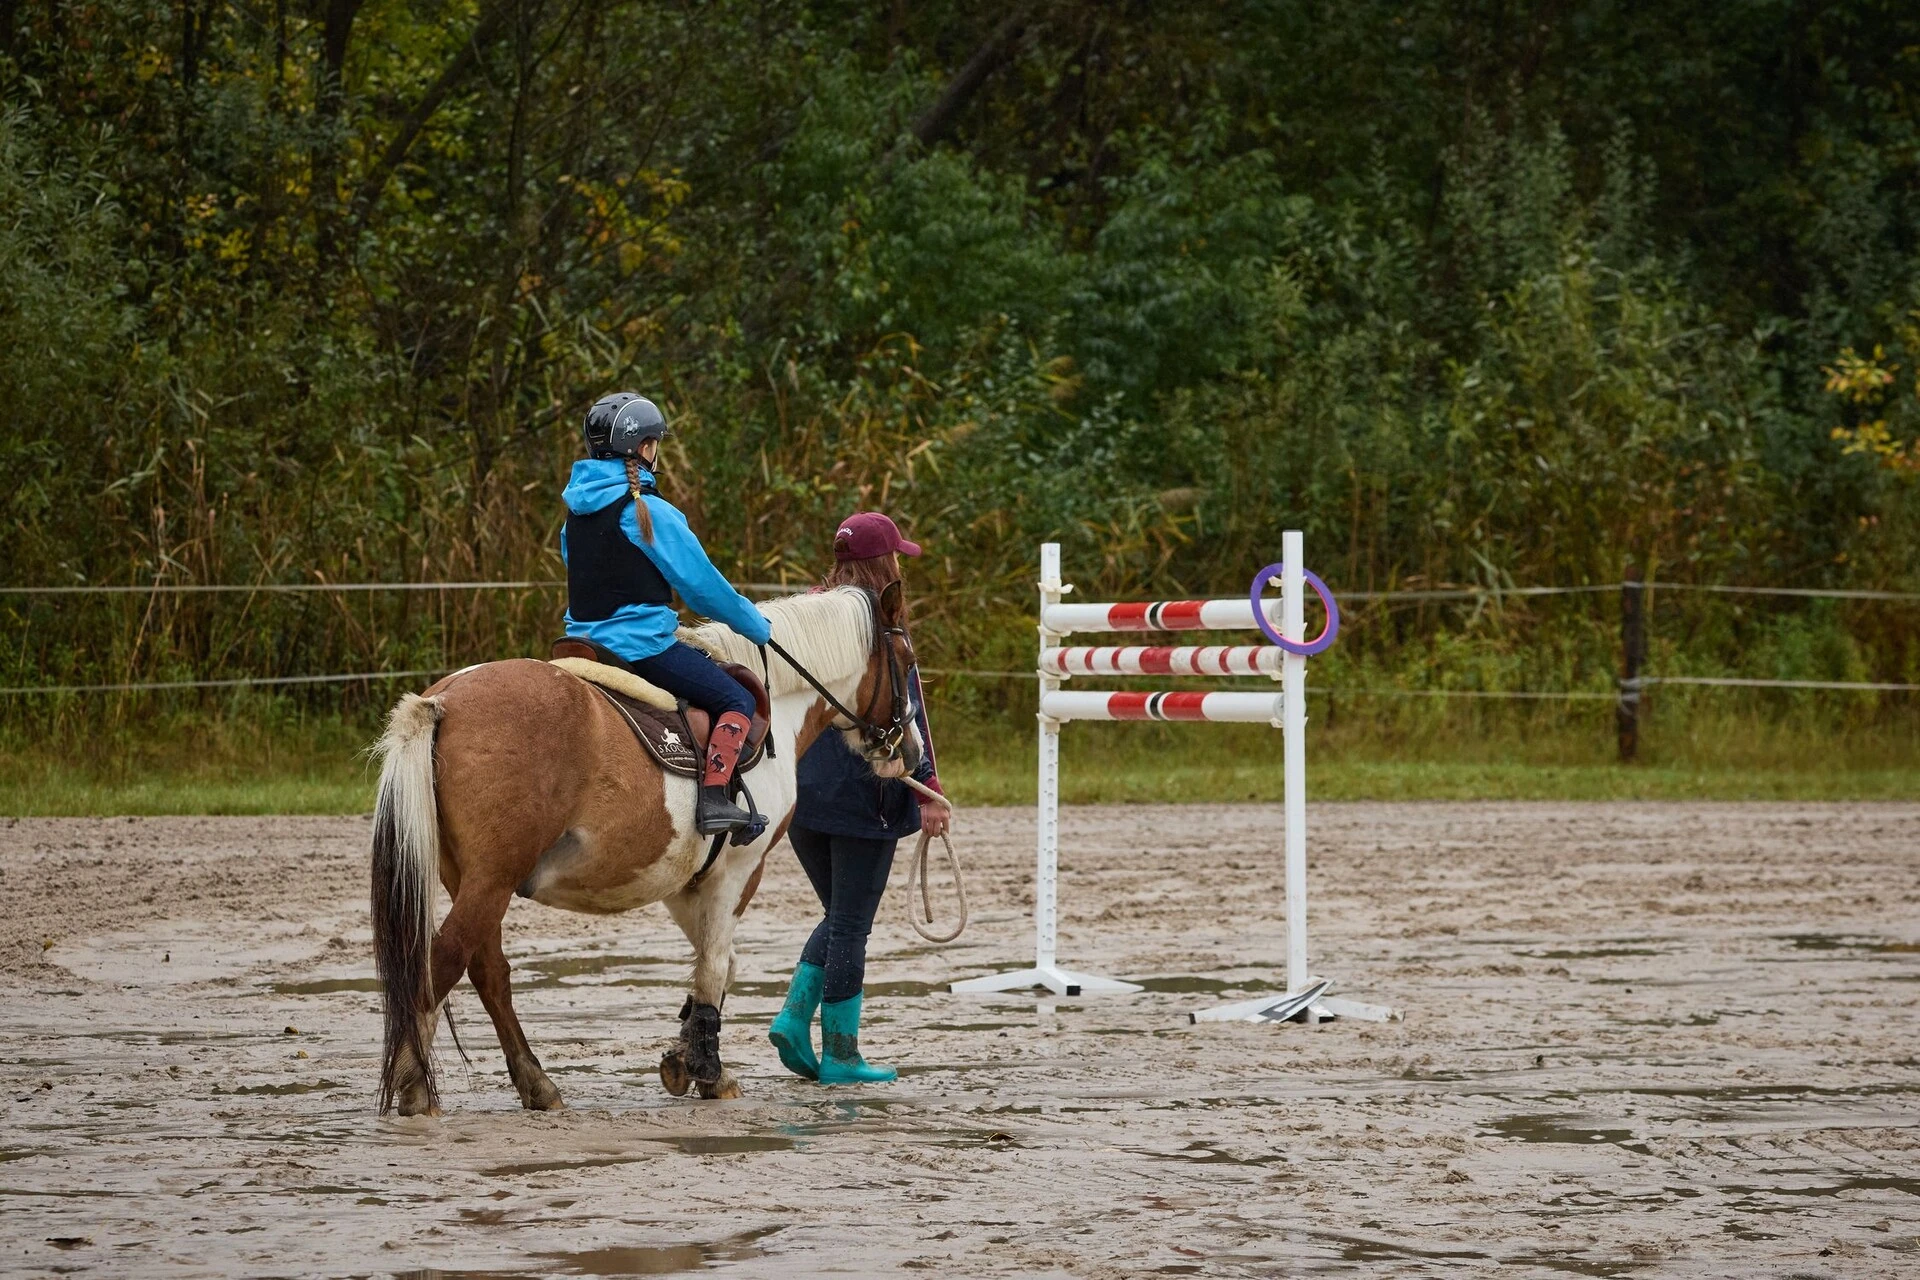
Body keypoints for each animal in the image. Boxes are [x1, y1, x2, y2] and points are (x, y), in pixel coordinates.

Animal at [372, 587, 921, 1113]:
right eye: (908, 660)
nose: (910, 750)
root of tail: (444, 699)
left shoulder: (683, 882)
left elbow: (715, 965)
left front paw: (685, 1057)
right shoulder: (740, 872)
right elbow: (715, 964)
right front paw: (709, 1071)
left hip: (473, 881)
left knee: (488, 973)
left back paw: (537, 1084)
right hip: (491, 881)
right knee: (442, 963)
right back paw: (414, 1085)